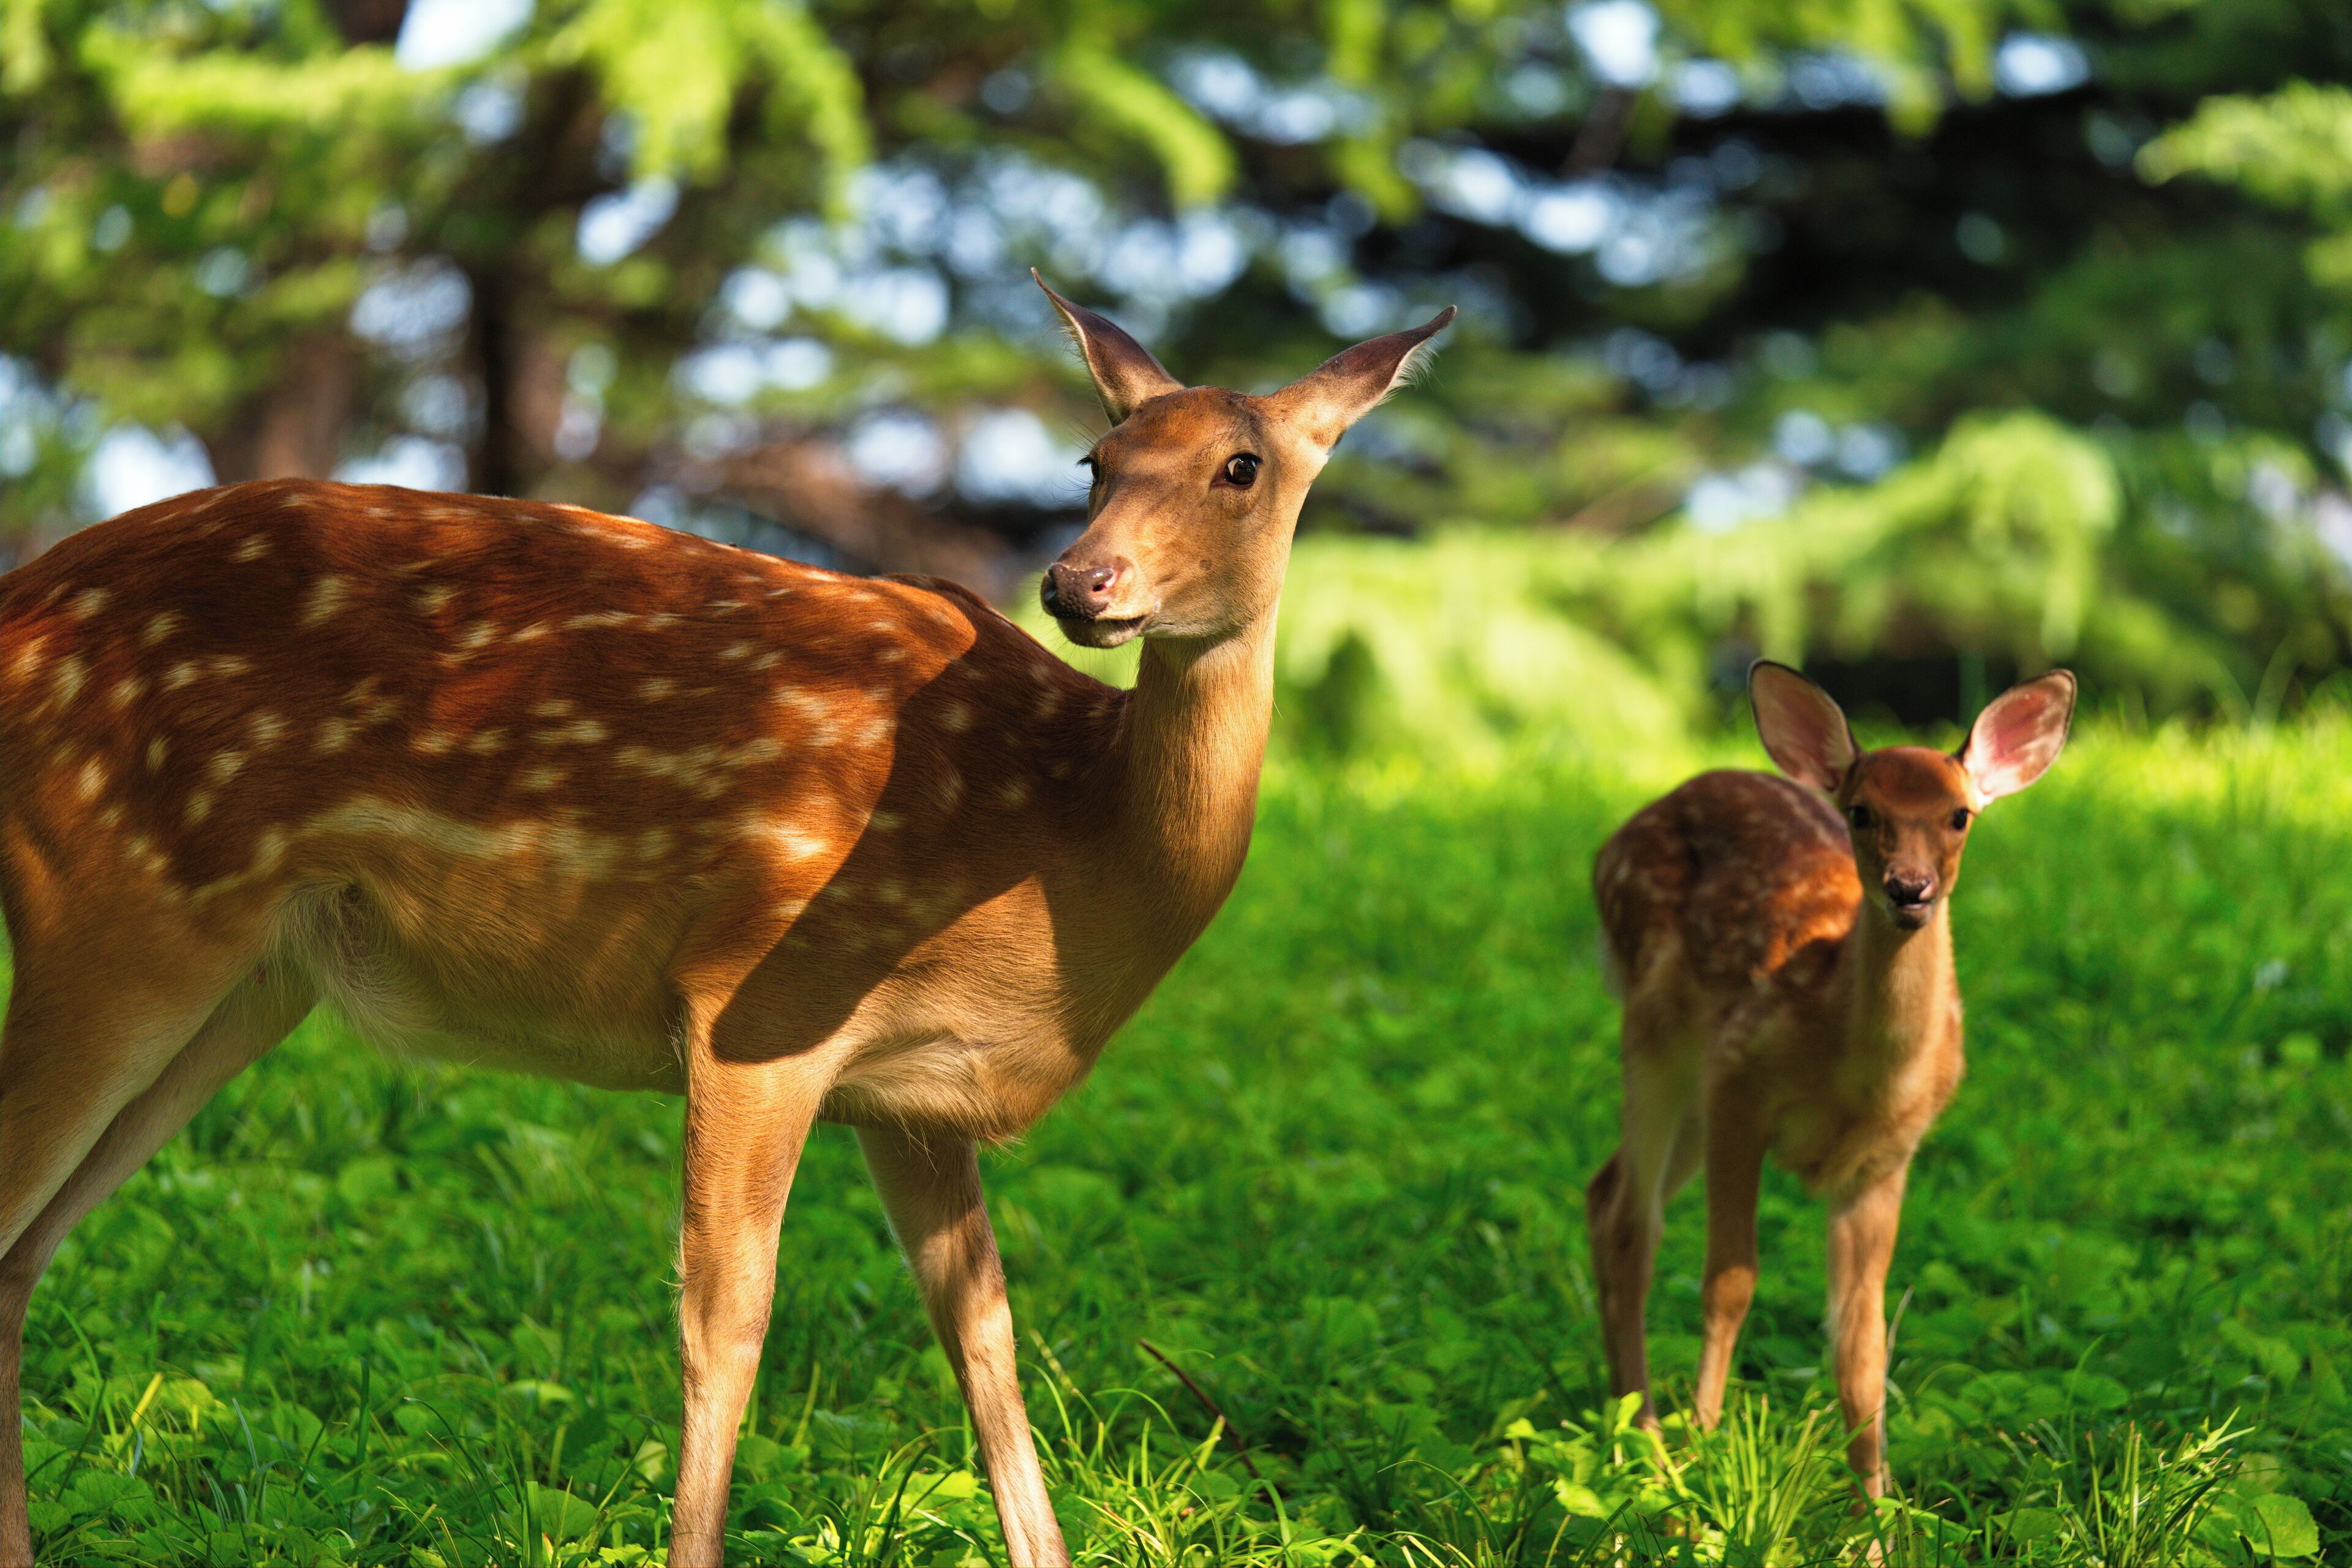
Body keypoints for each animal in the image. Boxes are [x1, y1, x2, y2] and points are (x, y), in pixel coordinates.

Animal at [0, 274, 1455, 1568]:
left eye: (1241, 466)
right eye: (1095, 460)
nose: (1078, 581)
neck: (1066, 850)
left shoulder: (912, 1099)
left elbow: (984, 1336)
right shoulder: (757, 998)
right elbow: (728, 1326)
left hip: (245, 977)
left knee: (25, 1255)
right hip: (105, 909)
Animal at [1584, 660, 2075, 1498]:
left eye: (1959, 816)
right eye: (1861, 811)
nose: (1909, 887)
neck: (1852, 1075)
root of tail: (1621, 832)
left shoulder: (1886, 1159)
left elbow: (1862, 1343)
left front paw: (1874, 1516)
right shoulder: (1738, 1079)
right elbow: (1730, 1283)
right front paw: (1704, 1457)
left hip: (1686, 1096)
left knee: (1602, 1187)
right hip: (1656, 1031)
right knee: (1630, 1218)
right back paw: (1645, 1450)